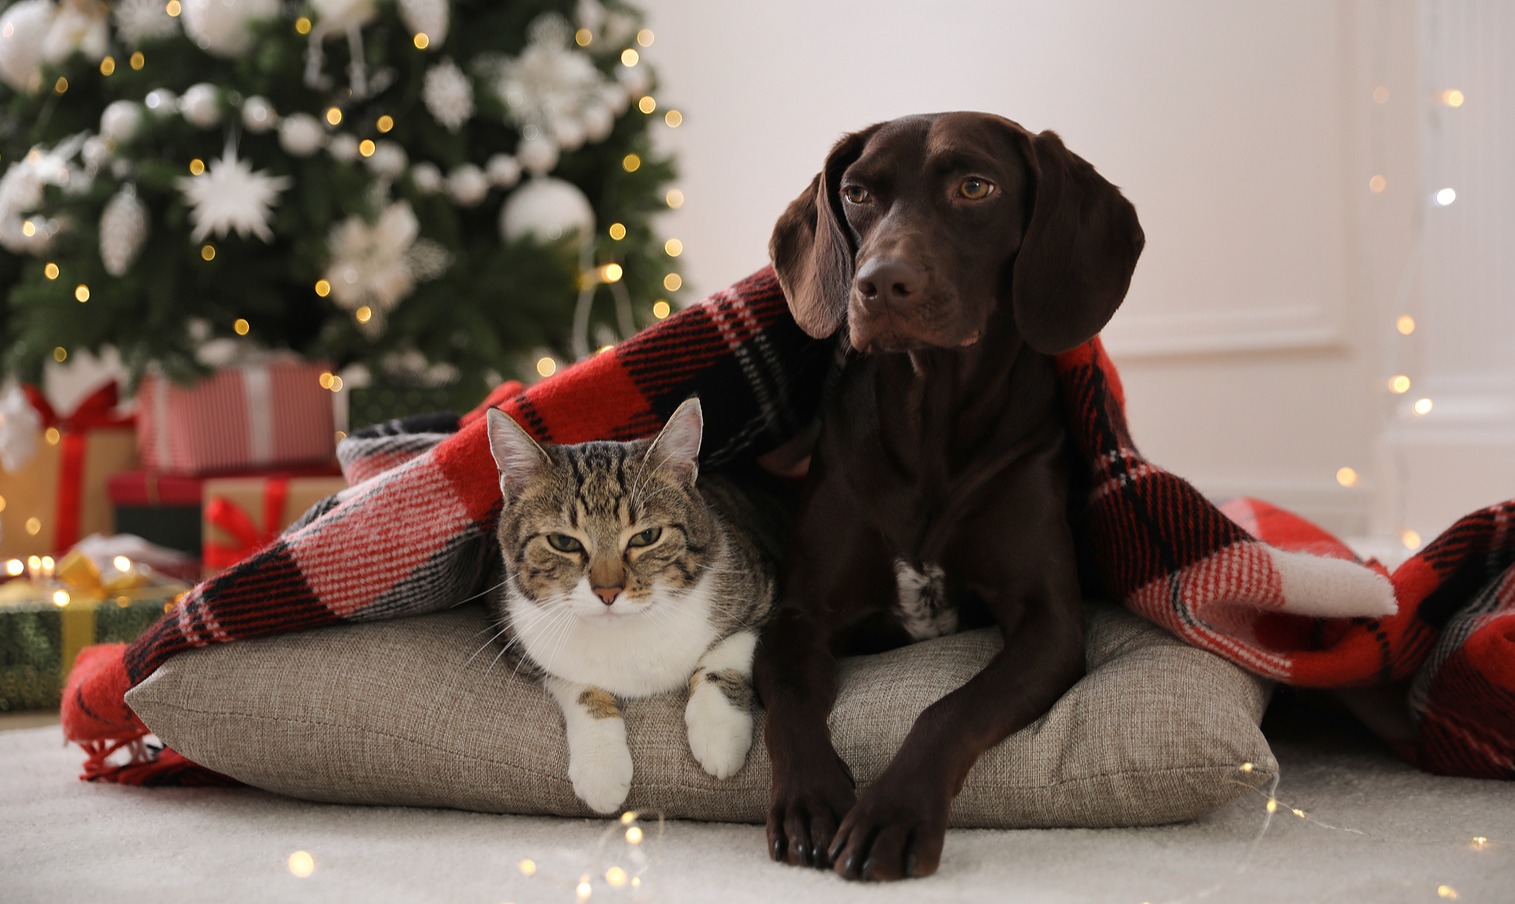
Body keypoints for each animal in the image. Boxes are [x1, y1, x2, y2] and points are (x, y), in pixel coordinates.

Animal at [484, 399, 787, 811]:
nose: (608, 591)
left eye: (647, 536)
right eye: (563, 542)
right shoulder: (521, 636)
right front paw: (600, 767)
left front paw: (719, 734)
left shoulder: (765, 592)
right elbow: (579, 686)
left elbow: (725, 653)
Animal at [751, 109, 1139, 878]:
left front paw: (892, 813)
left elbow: (950, 709)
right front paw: (809, 799)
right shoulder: (796, 617)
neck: (929, 421)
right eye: (857, 193)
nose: (879, 283)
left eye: (974, 187)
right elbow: (790, 703)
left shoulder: (1049, 623)